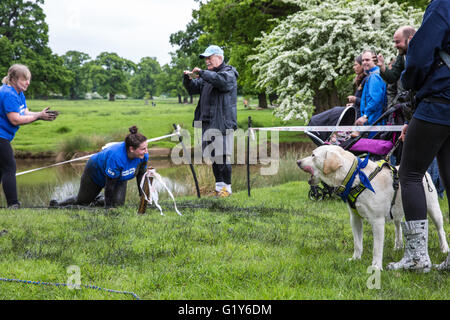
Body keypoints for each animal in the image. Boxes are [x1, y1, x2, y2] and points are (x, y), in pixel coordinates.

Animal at [298, 145, 448, 270]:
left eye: (313, 155)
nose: (298, 161)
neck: (355, 177)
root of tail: (425, 172)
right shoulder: (355, 218)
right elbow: (357, 243)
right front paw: (355, 259)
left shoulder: (377, 221)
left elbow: (377, 248)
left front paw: (376, 267)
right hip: (397, 211)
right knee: (398, 227)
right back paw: (398, 246)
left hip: (433, 208)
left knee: (440, 230)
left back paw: (444, 249)